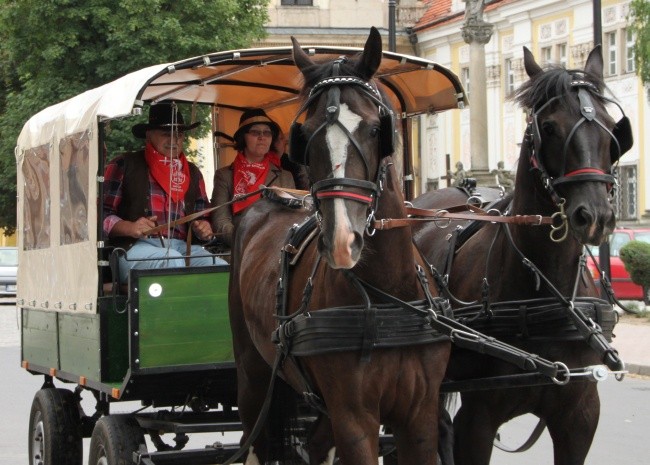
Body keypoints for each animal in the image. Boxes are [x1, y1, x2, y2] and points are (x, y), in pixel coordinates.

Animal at [229, 28, 450, 464]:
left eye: (375, 129)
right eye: (306, 135)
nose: (343, 241)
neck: (387, 296)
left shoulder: (419, 415)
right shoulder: (354, 418)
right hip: (252, 378)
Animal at [412, 44, 632, 464]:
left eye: (613, 129)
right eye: (549, 127)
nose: (595, 215)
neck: (544, 292)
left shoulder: (580, 417)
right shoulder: (478, 419)